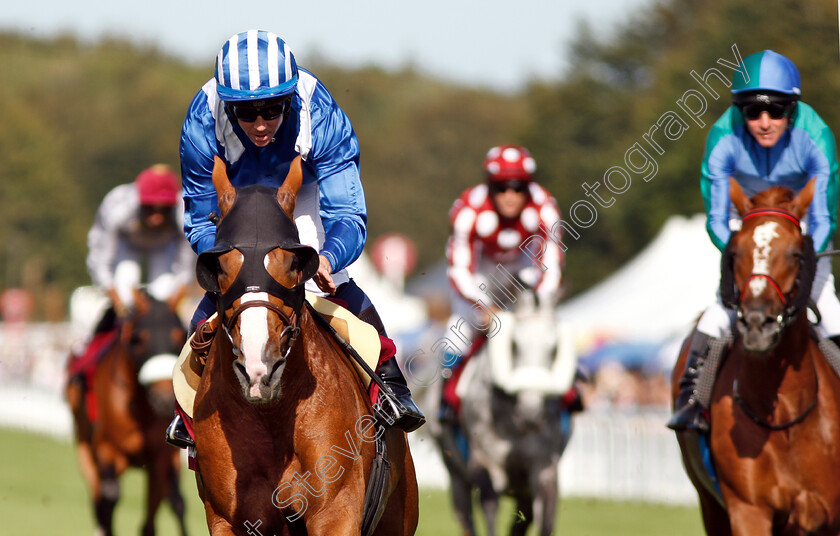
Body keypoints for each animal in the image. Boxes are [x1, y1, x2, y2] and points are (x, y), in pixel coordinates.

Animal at [66, 288, 190, 536]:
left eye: (179, 335)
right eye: (138, 339)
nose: (163, 399)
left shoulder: (160, 458)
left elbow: (165, 509)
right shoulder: (106, 448)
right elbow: (110, 495)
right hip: (85, 449)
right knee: (100, 499)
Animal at [189, 155, 416, 536]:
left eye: (294, 263)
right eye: (219, 267)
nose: (259, 369)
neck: (272, 417)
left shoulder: (335, 512)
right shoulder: (229, 520)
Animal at [672, 179, 840, 536]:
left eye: (795, 253)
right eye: (735, 252)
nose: (757, 324)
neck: (787, 417)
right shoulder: (748, 510)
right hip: (710, 505)